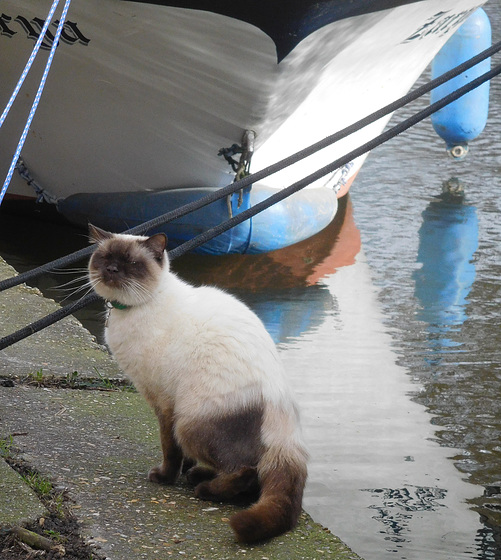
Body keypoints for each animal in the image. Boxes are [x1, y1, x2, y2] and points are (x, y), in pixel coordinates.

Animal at [89, 224, 308, 544]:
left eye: (131, 262)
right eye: (105, 258)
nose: (112, 269)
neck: (133, 308)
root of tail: (285, 420)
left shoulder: (164, 403)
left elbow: (169, 448)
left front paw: (165, 478)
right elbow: (180, 454)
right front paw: (186, 469)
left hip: (188, 422)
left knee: (247, 471)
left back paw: (205, 489)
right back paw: (199, 476)